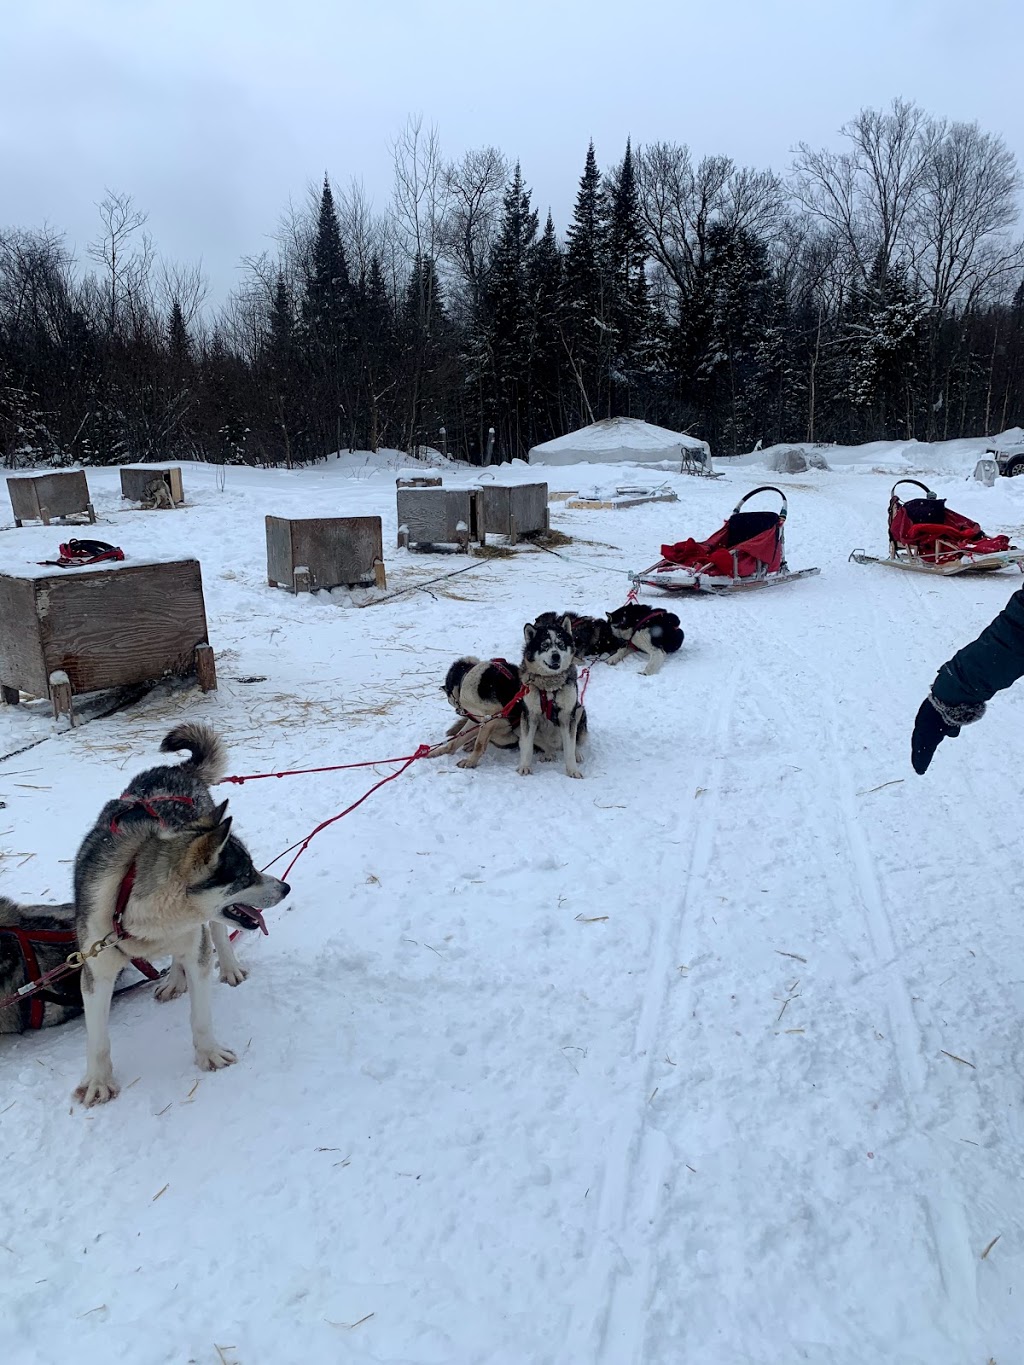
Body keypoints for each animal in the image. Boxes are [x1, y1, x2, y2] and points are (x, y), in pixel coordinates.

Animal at [72, 726, 290, 1108]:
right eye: (246, 874)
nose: (285, 887)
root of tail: (175, 769)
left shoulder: (195, 949)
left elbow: (200, 1015)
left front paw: (209, 1054)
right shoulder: (96, 970)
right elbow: (97, 1039)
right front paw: (99, 1082)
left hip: (205, 930)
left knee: (216, 931)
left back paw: (226, 967)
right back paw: (174, 980)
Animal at [521, 619, 584, 780]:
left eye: (561, 644)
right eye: (545, 645)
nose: (556, 656)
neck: (549, 688)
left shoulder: (568, 715)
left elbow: (570, 748)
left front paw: (572, 770)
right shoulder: (530, 715)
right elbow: (527, 745)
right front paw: (524, 767)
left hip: (579, 710)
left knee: (573, 742)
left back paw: (577, 753)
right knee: (545, 746)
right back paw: (548, 752)